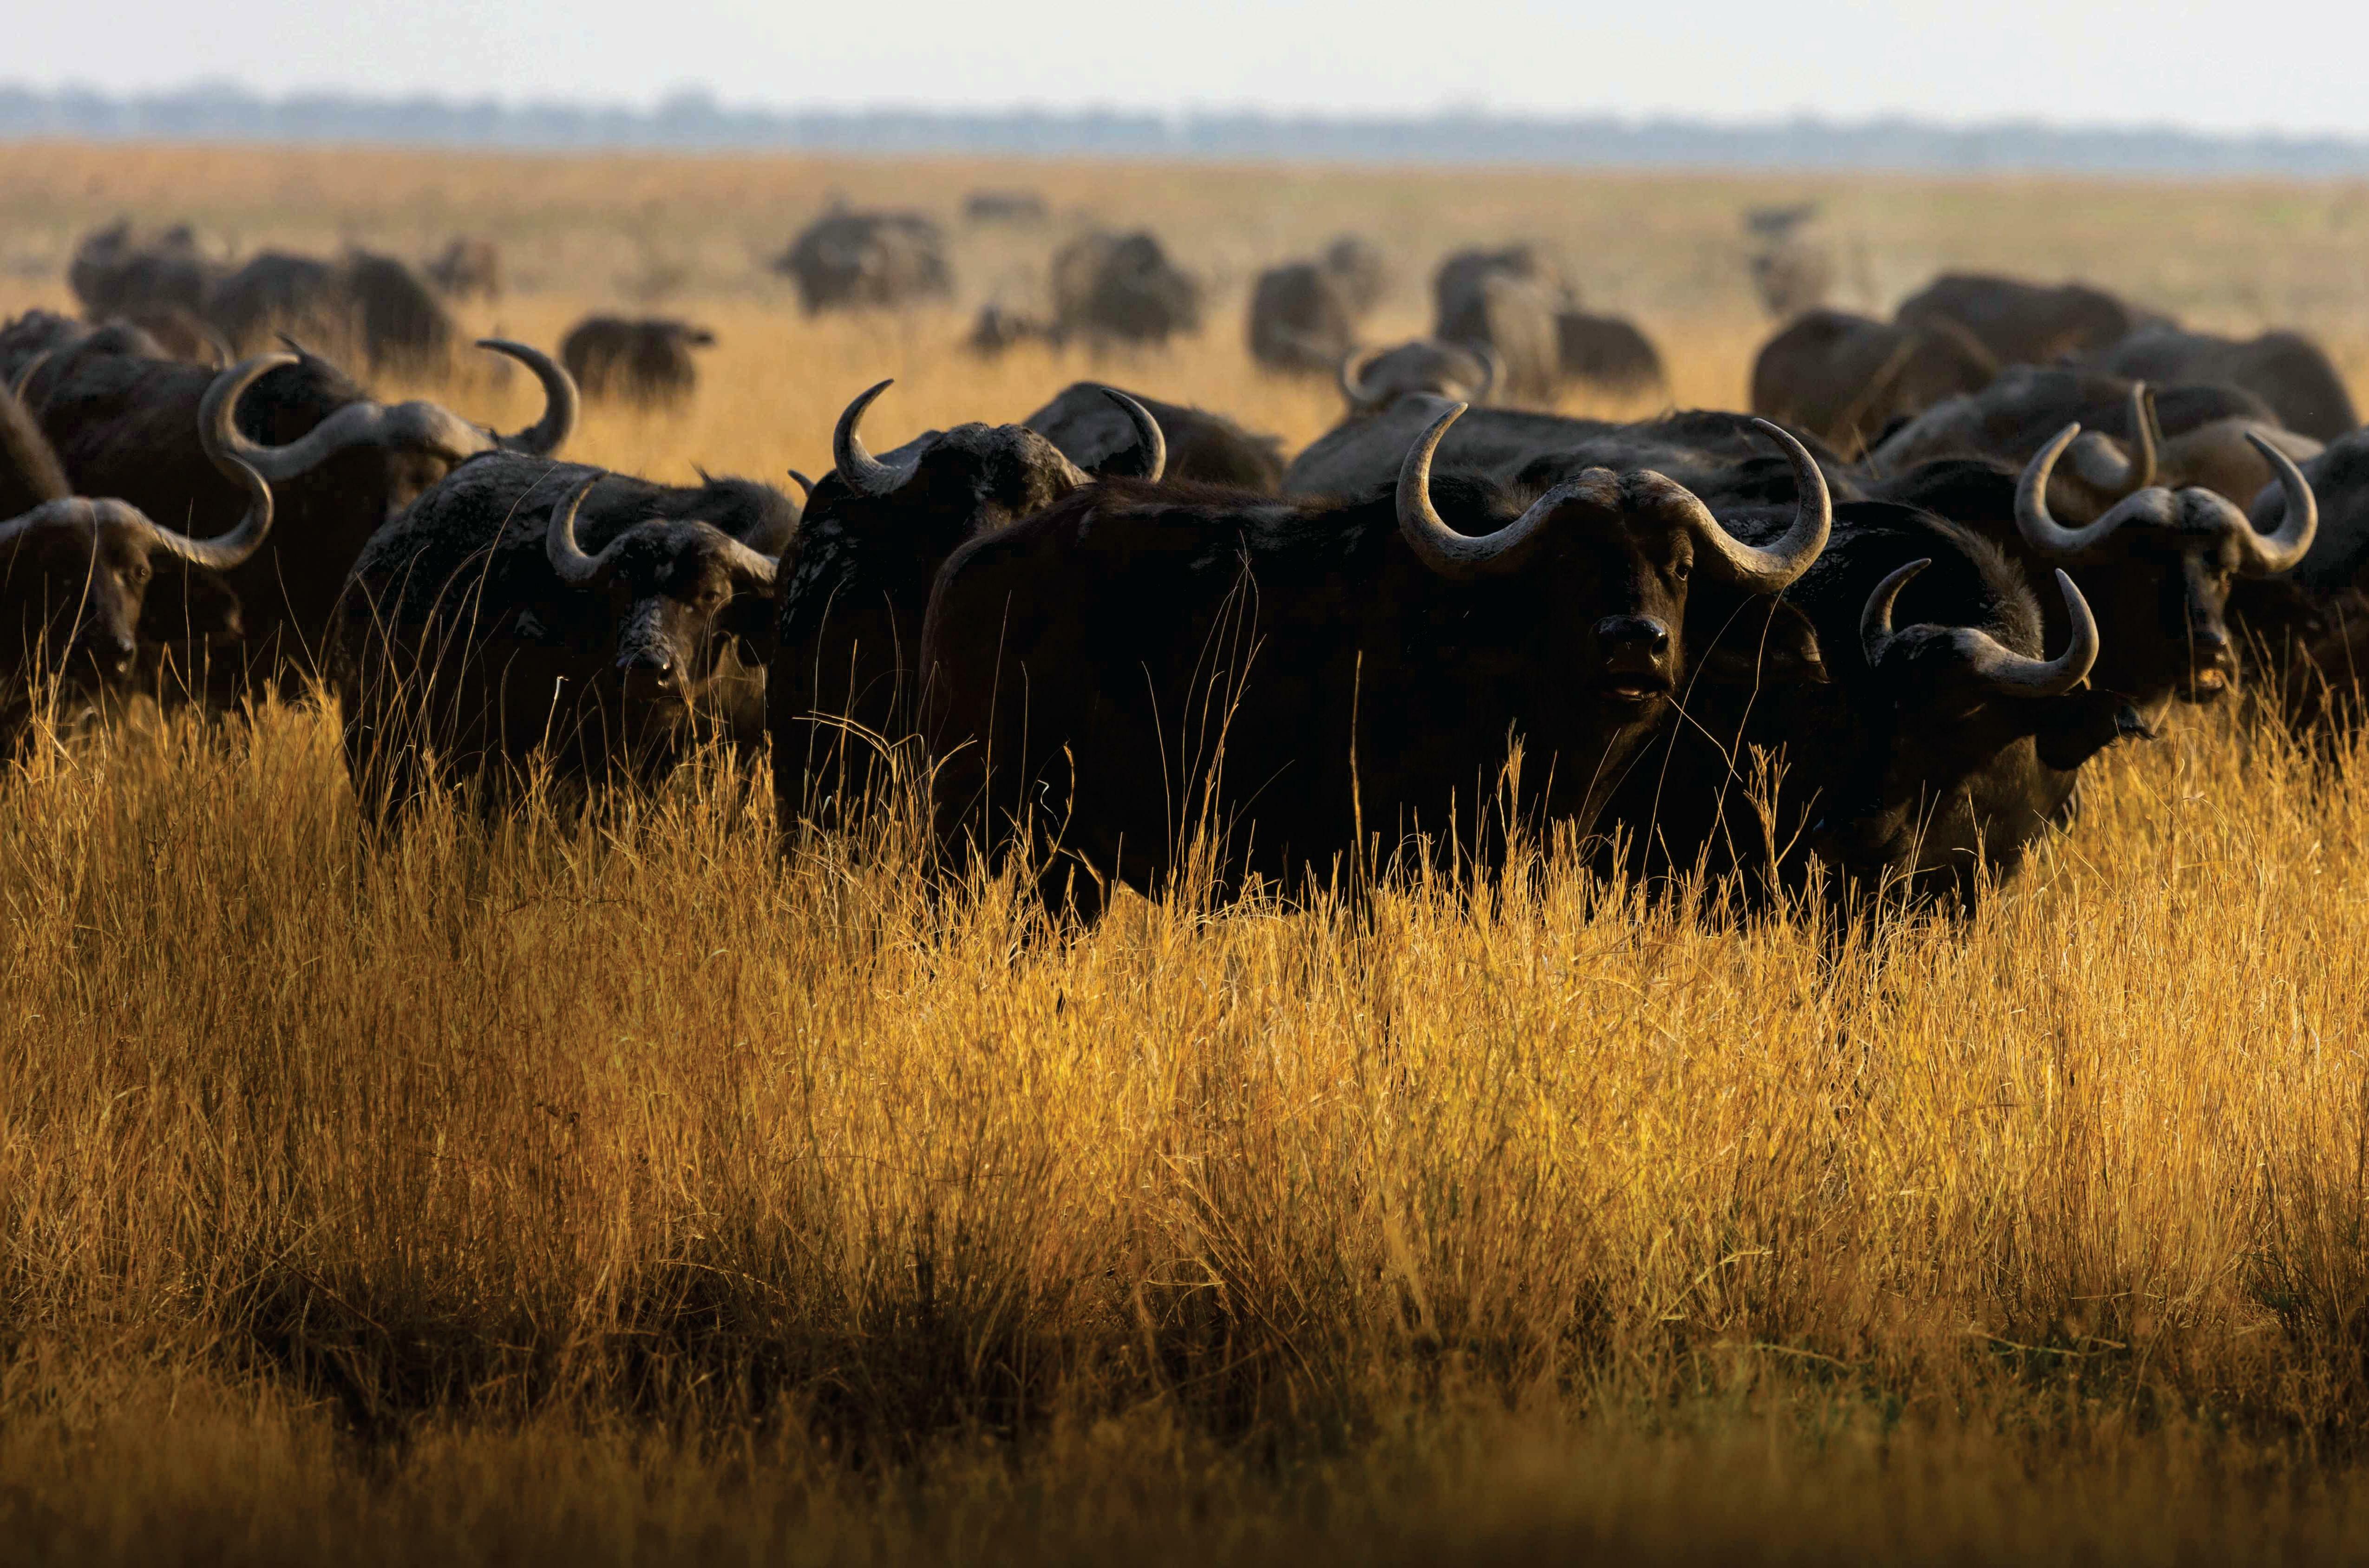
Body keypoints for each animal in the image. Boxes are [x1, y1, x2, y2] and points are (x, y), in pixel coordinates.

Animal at [921, 401, 1831, 915]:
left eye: (1680, 567)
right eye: (1571, 563)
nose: (1634, 642)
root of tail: (970, 569)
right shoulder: (1356, 872)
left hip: (1067, 865)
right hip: (968, 826)